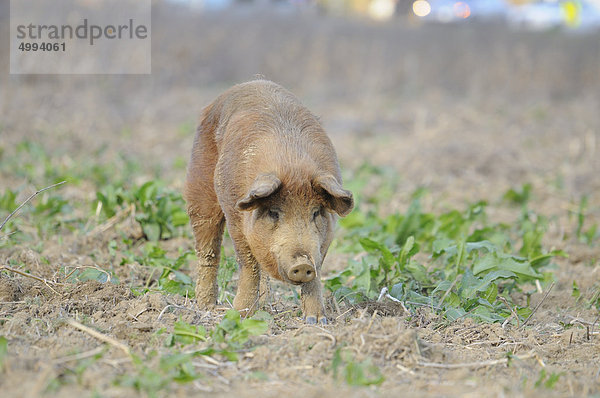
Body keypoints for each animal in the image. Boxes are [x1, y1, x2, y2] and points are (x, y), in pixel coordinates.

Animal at [183, 80, 352, 324]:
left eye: (316, 212)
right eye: (273, 212)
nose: (302, 264)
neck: (292, 164)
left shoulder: (323, 242)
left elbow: (317, 272)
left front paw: (316, 321)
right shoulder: (236, 220)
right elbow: (248, 265)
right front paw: (239, 317)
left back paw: (264, 307)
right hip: (199, 191)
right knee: (208, 251)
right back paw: (207, 307)